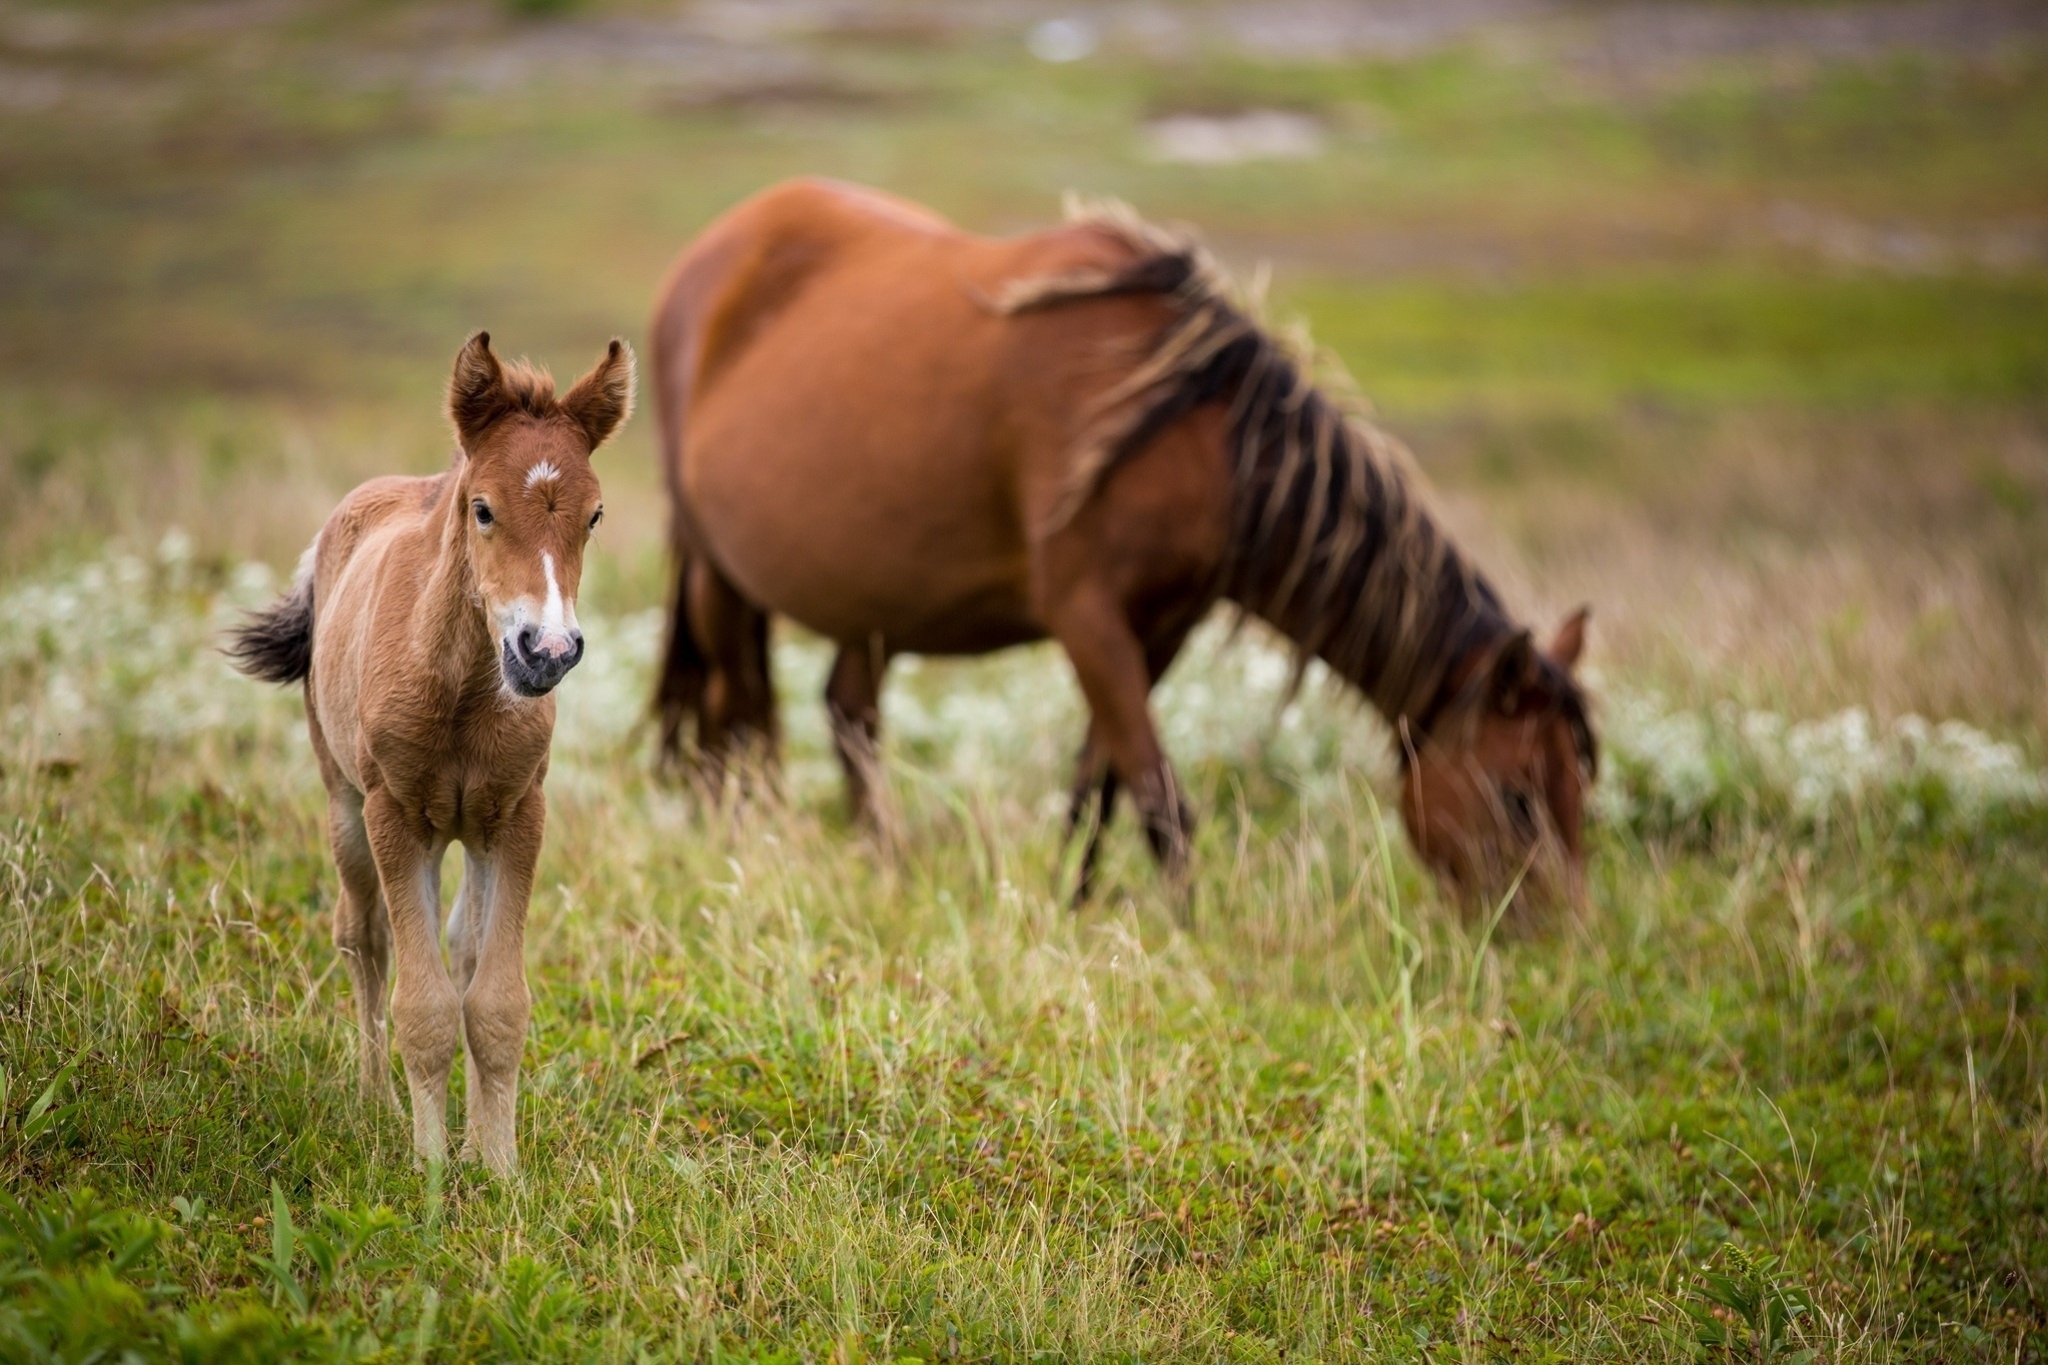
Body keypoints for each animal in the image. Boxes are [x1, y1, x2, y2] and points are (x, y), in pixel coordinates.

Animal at [228, 333, 626, 1178]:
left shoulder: (515, 814)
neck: (464, 692)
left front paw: (497, 1167)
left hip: (462, 831)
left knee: (463, 949)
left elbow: (494, 999)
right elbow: (425, 1005)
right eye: (483, 508)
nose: (546, 651)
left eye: (595, 515)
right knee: (364, 934)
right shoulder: (397, 815)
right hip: (346, 800)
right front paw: (430, 1169)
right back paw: (375, 1101)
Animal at [655, 181, 1597, 908]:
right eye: (1517, 796)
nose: (1558, 944)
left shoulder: (1160, 629)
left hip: (875, 601)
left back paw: (885, 864)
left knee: (848, 715)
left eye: (1579, 791)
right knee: (733, 717)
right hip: (716, 575)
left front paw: (1072, 905)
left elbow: (1096, 787)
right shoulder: (1088, 620)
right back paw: (745, 843)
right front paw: (1188, 934)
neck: (1194, 437)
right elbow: (1158, 795)